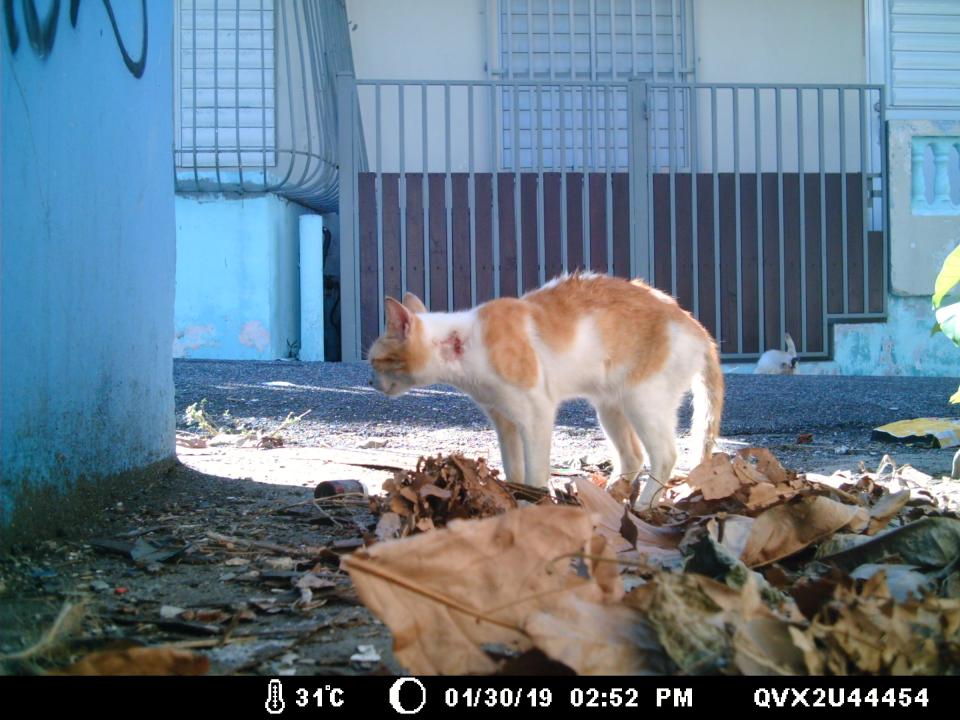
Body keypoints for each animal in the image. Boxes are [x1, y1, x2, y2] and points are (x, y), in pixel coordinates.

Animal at [366, 272, 720, 504]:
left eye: (373, 361)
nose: (370, 382)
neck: (462, 343)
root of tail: (697, 328)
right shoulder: (504, 421)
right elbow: (514, 467)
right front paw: (514, 495)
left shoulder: (536, 414)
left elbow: (536, 469)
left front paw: (533, 502)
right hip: (610, 407)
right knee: (632, 456)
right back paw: (608, 499)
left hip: (642, 402)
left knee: (665, 455)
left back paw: (644, 505)